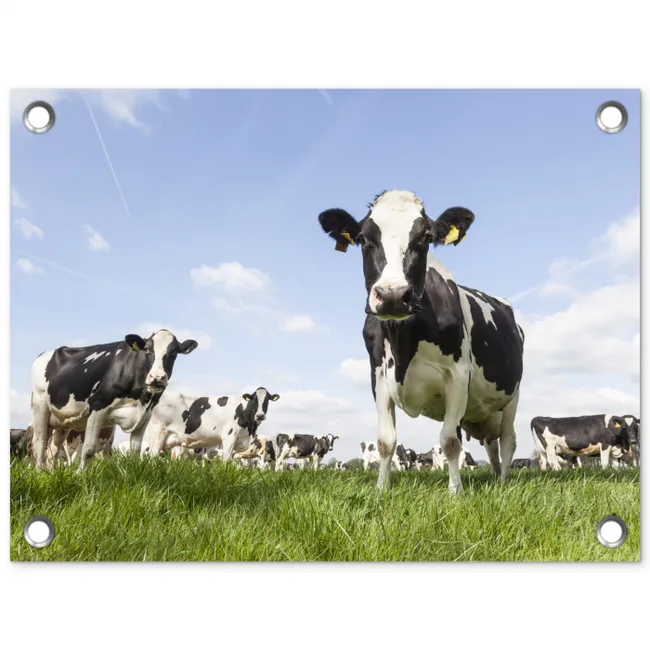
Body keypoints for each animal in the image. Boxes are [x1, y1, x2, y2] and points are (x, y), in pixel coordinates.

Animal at [30, 329, 198, 469]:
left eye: (174, 352)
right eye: (147, 349)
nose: (157, 377)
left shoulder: (145, 414)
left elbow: (135, 451)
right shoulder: (97, 405)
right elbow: (89, 449)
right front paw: (80, 476)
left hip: (63, 420)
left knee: (53, 449)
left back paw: (50, 472)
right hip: (39, 406)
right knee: (40, 444)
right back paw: (40, 473)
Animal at [143, 387, 280, 462]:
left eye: (267, 400)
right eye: (254, 401)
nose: (260, 415)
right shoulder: (229, 437)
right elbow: (226, 461)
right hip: (157, 433)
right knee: (152, 457)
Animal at [318, 190, 524, 494]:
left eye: (426, 237)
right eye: (363, 238)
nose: (392, 295)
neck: (404, 342)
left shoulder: (458, 376)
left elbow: (450, 441)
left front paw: (455, 491)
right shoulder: (379, 376)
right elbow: (386, 441)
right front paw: (381, 490)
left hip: (512, 396)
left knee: (508, 441)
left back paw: (503, 482)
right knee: (491, 445)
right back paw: (496, 477)